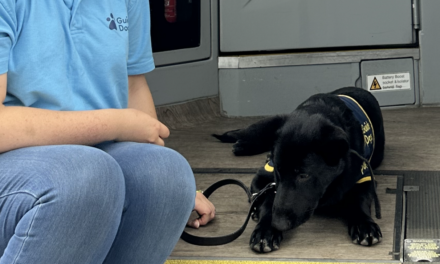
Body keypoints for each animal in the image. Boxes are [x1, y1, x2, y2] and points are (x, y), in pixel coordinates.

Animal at [213, 87, 384, 254]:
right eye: (278, 171)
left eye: (303, 175)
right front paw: (265, 230)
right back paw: (242, 145)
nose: (278, 224)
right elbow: (269, 201)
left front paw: (364, 224)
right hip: (270, 123)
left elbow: (359, 200)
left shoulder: (364, 177)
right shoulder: (264, 177)